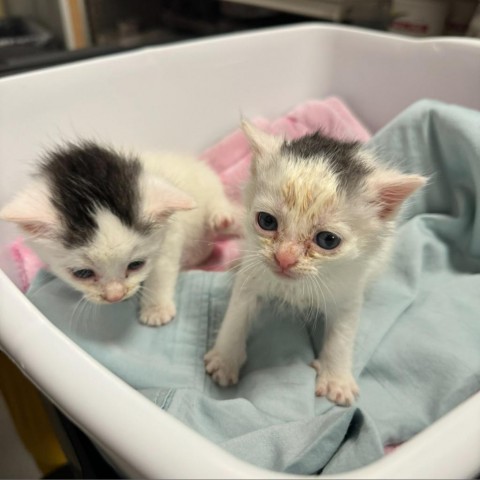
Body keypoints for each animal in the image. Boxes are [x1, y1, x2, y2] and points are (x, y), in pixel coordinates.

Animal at [1, 140, 238, 326]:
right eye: (83, 273)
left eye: (136, 265)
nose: (115, 296)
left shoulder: (170, 235)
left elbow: (161, 271)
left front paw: (156, 309)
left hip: (205, 182)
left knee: (217, 200)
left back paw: (222, 217)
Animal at [204, 121, 426, 404]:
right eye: (267, 221)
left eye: (327, 240)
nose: (284, 258)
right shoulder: (252, 275)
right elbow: (237, 313)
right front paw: (225, 359)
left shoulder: (348, 290)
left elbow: (343, 333)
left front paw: (336, 380)